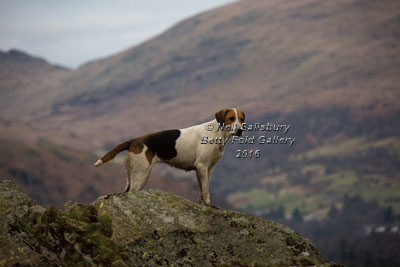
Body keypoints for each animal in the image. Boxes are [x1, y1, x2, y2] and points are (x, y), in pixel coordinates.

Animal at [94, 108, 244, 208]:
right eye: (231, 118)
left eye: (242, 119)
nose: (240, 130)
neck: (217, 132)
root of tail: (133, 141)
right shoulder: (202, 166)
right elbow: (206, 190)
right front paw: (208, 204)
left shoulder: (207, 169)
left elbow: (203, 188)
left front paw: (203, 204)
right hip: (141, 175)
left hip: (131, 176)